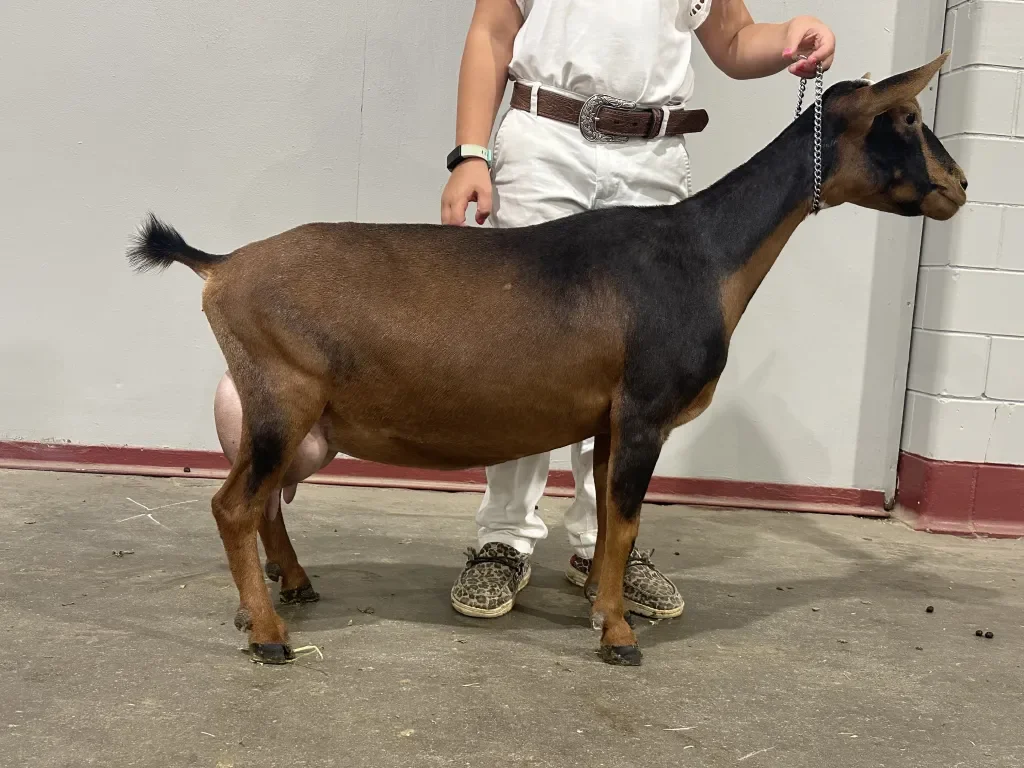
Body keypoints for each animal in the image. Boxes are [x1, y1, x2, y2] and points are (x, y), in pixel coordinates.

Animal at [128, 54, 966, 666]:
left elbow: (607, 522)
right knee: (234, 505)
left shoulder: (610, 419)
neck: (703, 252)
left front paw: (603, 607)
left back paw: (287, 590)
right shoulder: (646, 411)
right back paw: (269, 635)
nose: (959, 185)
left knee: (264, 501)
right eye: (907, 117)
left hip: (292, 422)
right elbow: (625, 521)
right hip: (283, 399)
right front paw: (620, 640)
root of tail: (221, 267)